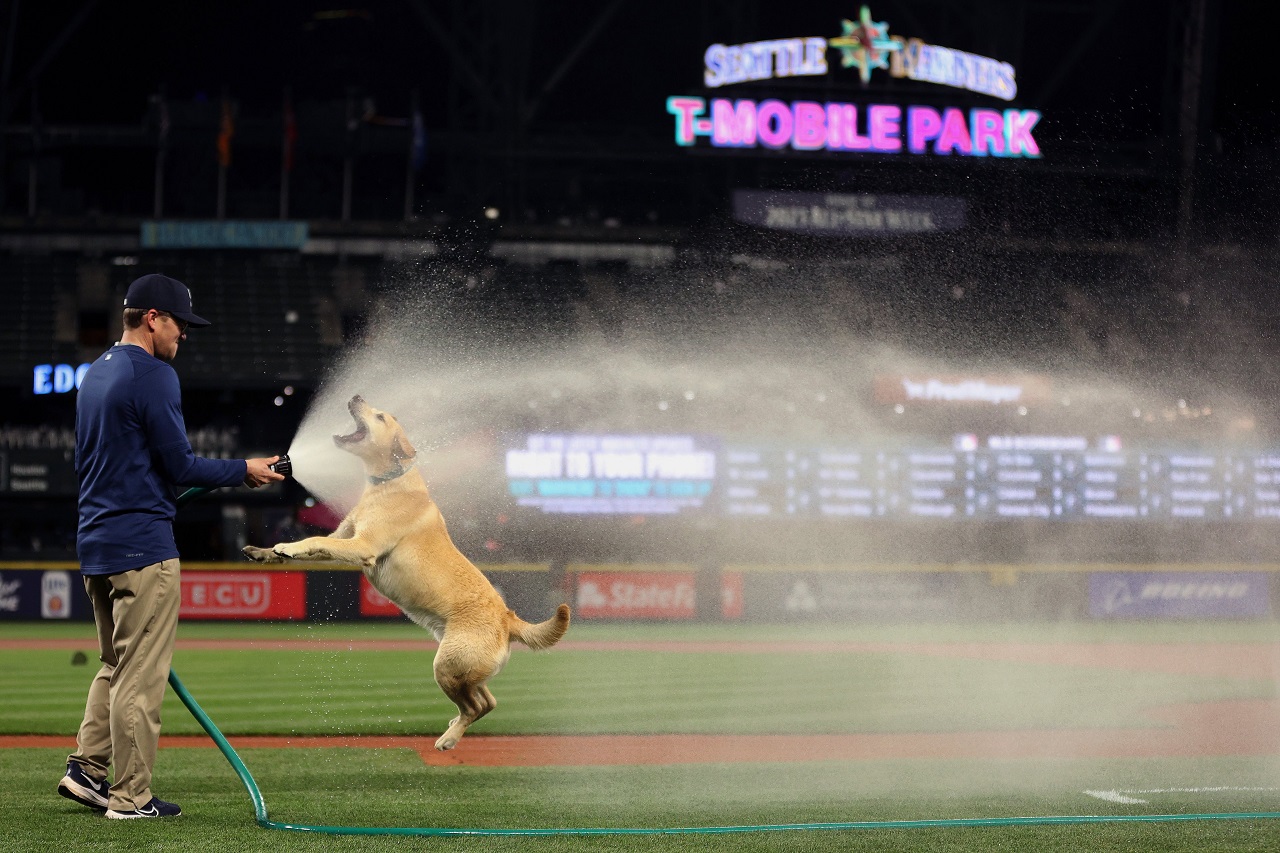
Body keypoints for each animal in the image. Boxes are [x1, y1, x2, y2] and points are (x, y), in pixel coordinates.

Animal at [243, 394, 570, 747]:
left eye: (380, 417)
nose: (356, 396)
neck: (389, 482)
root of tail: (508, 618)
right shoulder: (343, 538)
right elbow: (310, 545)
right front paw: (264, 552)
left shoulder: (361, 546)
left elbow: (312, 539)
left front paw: (286, 547)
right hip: (466, 670)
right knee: (488, 701)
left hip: (447, 665)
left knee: (475, 706)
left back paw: (449, 738)